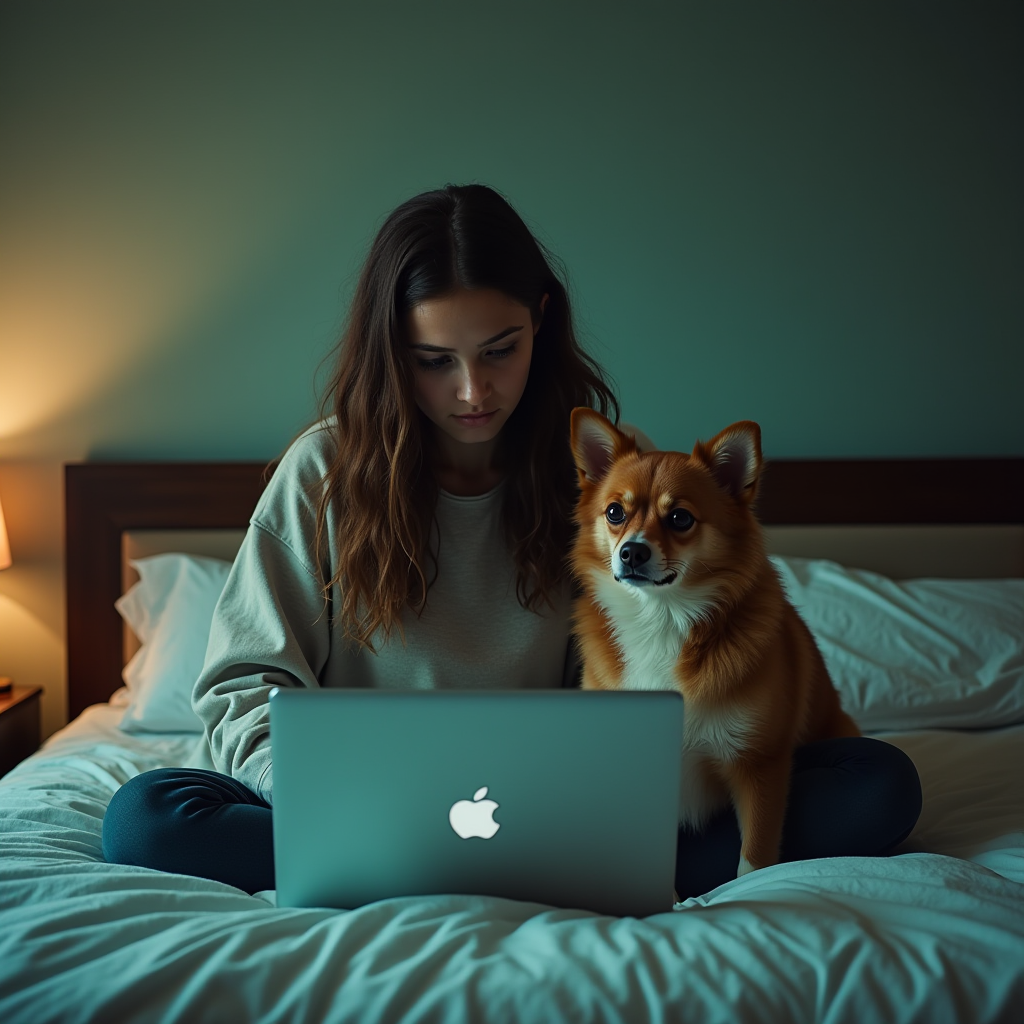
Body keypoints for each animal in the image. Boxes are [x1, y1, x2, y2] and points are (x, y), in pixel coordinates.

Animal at [569, 411, 856, 876]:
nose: (631, 552)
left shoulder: (759, 765)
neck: (663, 618)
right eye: (615, 512)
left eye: (680, 518)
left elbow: (753, 859)